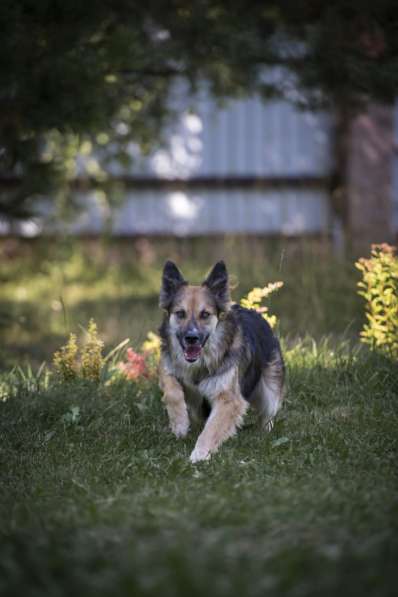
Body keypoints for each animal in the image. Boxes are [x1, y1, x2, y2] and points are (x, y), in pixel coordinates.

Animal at [157, 260, 284, 460]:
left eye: (205, 314)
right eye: (180, 313)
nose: (191, 338)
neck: (200, 362)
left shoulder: (229, 398)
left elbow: (212, 428)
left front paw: (199, 455)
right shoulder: (166, 367)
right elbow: (172, 391)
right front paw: (180, 424)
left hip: (270, 388)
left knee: (268, 414)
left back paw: (263, 435)